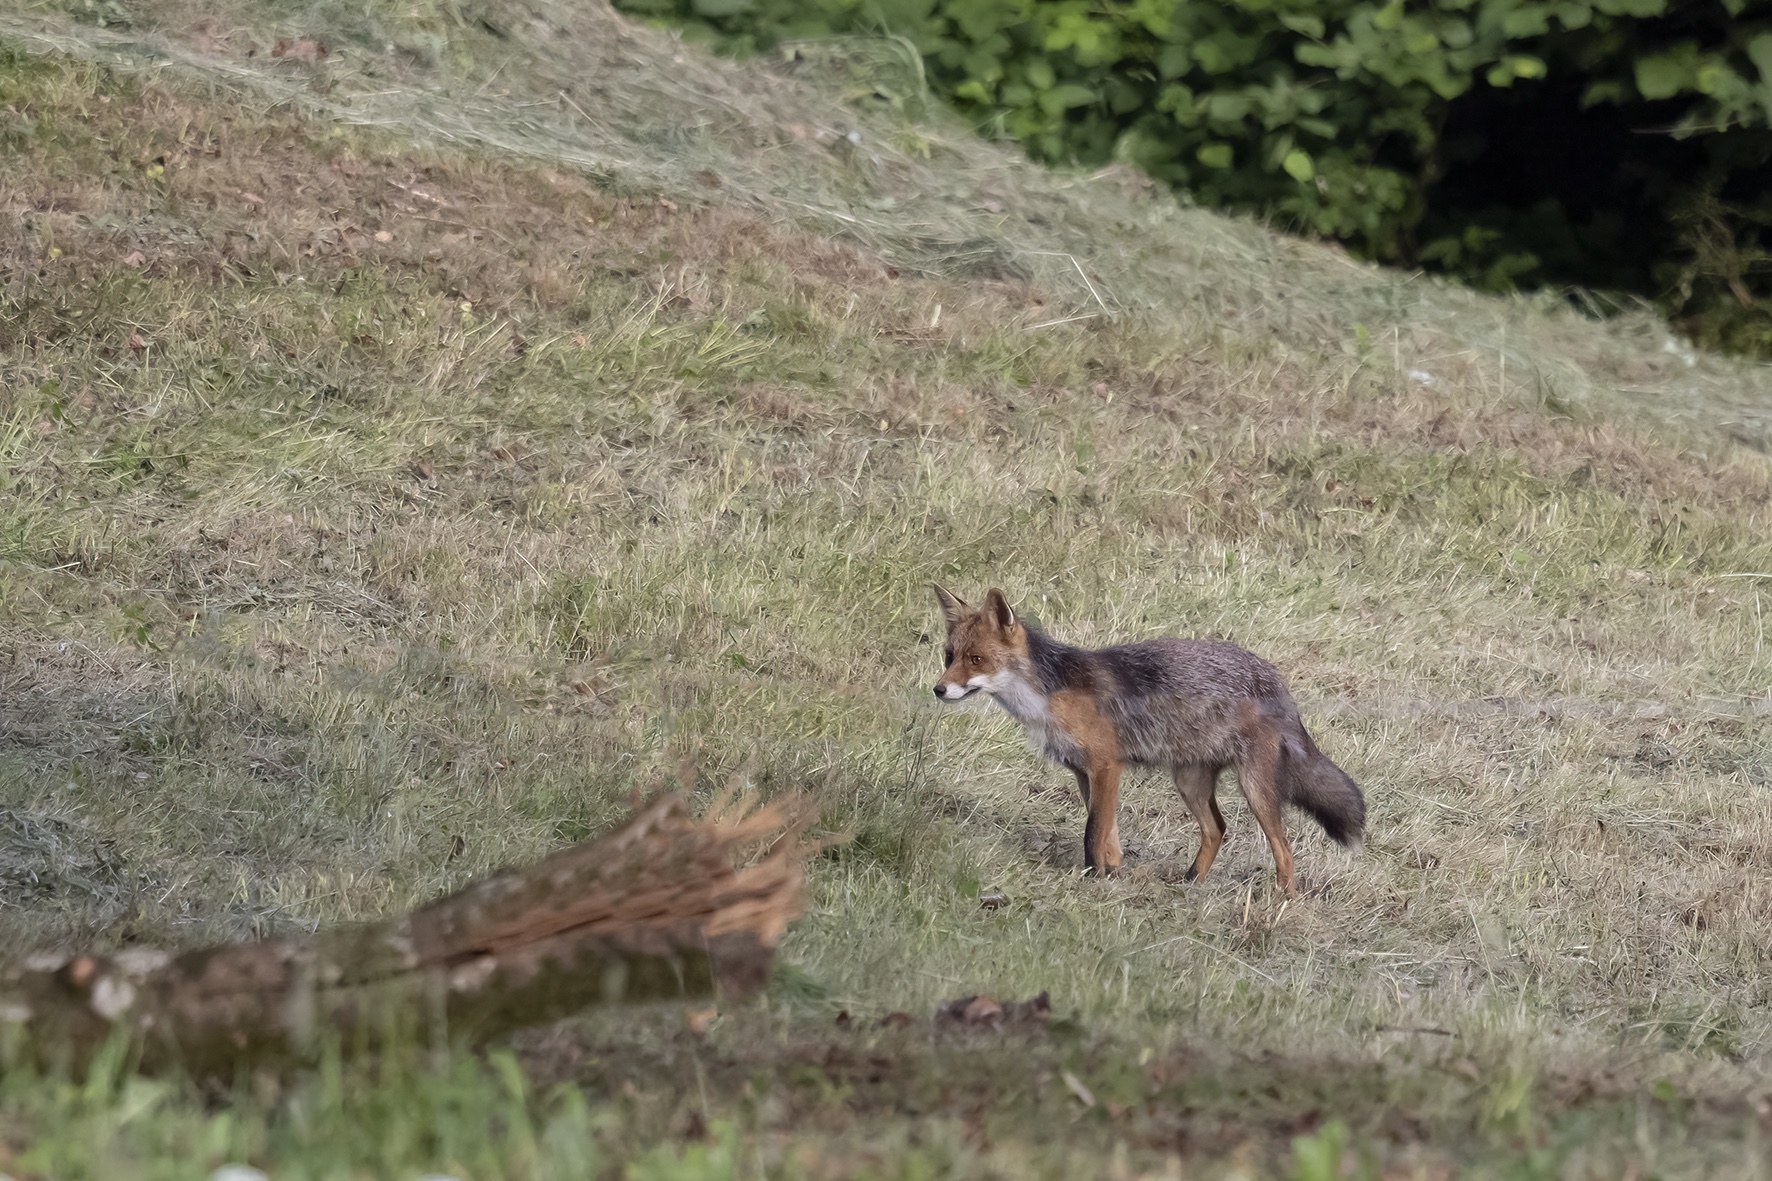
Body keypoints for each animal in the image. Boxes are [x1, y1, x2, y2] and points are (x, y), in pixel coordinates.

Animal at [931, 586, 1364, 896]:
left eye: (976, 660)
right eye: (949, 656)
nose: (938, 690)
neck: (1050, 696)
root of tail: (1275, 679)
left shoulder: (1106, 765)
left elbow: (1093, 831)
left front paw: (1092, 880)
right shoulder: (1084, 773)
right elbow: (1107, 832)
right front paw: (1111, 872)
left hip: (1255, 788)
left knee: (1284, 848)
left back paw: (1283, 900)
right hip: (1190, 782)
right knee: (1217, 829)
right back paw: (1191, 882)